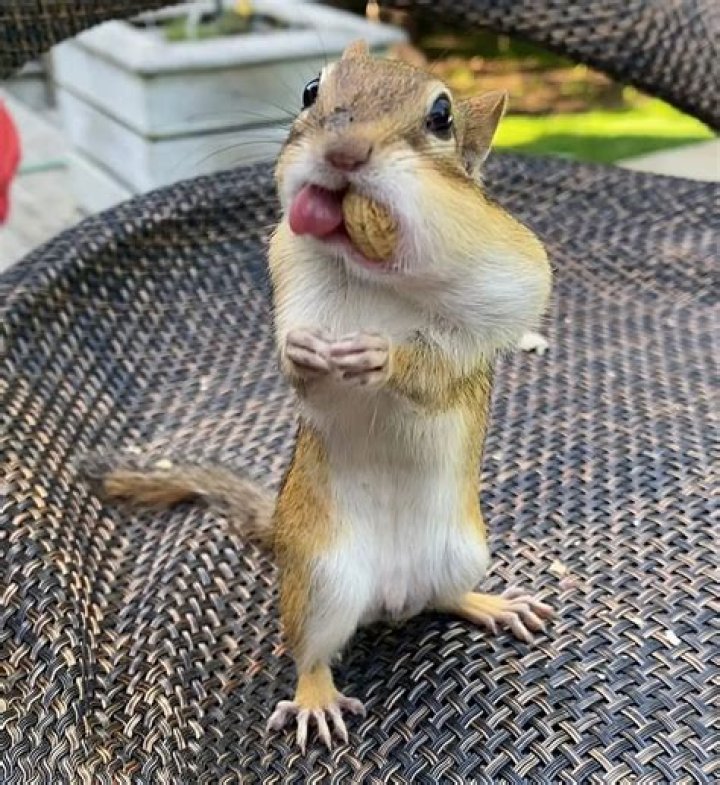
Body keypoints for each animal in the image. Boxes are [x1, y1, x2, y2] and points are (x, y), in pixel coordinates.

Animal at [97, 40, 554, 753]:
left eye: (442, 115)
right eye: (312, 88)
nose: (344, 153)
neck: (374, 274)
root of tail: (392, 593)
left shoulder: (495, 297)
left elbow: (438, 365)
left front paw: (385, 357)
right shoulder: (292, 278)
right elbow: (300, 373)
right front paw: (303, 357)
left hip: (464, 552)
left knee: (443, 598)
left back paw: (489, 603)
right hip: (322, 579)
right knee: (311, 651)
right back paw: (315, 697)